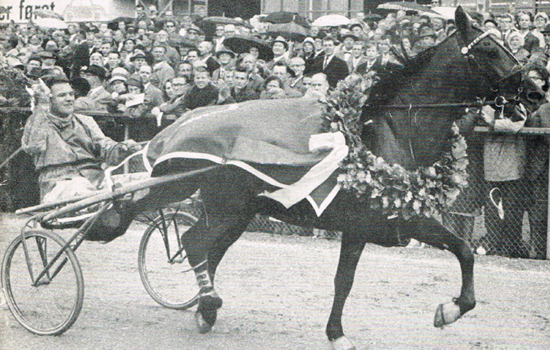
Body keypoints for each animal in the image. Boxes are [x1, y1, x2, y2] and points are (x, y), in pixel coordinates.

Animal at [136, 7, 536, 350]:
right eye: (489, 48)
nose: (534, 91)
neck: (395, 133)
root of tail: (188, 124)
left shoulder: (390, 223)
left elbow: (460, 250)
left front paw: (447, 310)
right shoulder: (383, 222)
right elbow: (351, 278)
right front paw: (342, 332)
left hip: (238, 212)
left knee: (208, 249)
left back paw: (206, 307)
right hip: (226, 207)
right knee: (194, 242)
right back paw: (207, 303)